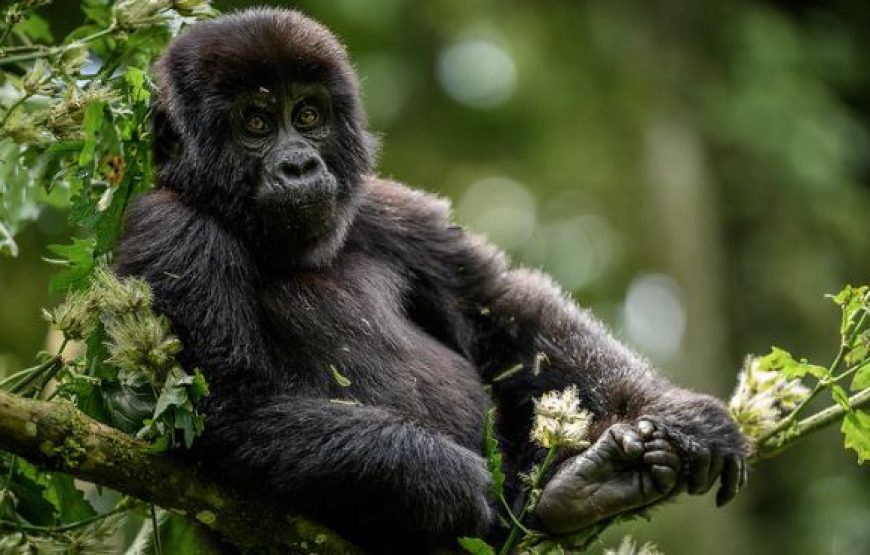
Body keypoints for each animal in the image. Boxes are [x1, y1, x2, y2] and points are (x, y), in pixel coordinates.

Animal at [115, 8, 748, 553]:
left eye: (308, 116)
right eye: (255, 123)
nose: (299, 165)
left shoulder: (380, 206)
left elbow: (496, 302)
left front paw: (679, 413)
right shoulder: (168, 229)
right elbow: (220, 407)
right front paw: (437, 477)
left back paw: (583, 490)